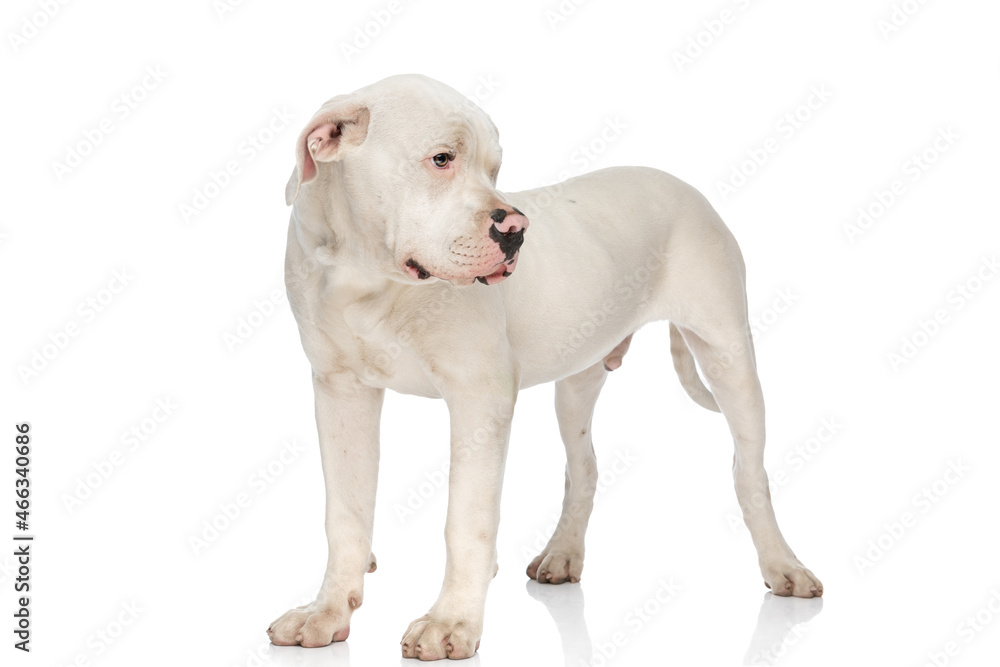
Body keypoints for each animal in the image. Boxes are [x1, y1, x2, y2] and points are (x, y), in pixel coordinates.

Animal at [266, 74, 820, 664]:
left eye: (495, 169)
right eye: (441, 159)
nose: (516, 229)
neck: (367, 276)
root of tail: (681, 184)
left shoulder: (480, 398)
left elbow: (466, 519)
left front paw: (452, 620)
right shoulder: (340, 395)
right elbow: (345, 515)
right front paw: (326, 611)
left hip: (729, 357)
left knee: (749, 473)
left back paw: (783, 565)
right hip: (578, 380)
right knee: (584, 469)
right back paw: (562, 554)